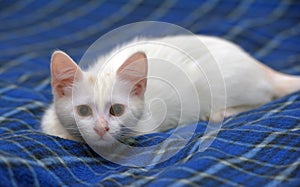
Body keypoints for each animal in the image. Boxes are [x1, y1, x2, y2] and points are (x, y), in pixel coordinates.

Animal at [40, 35, 300, 146]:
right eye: (83, 111)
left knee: (263, 98)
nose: (101, 128)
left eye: (116, 110)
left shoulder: (146, 126)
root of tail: (258, 64)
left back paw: (221, 112)